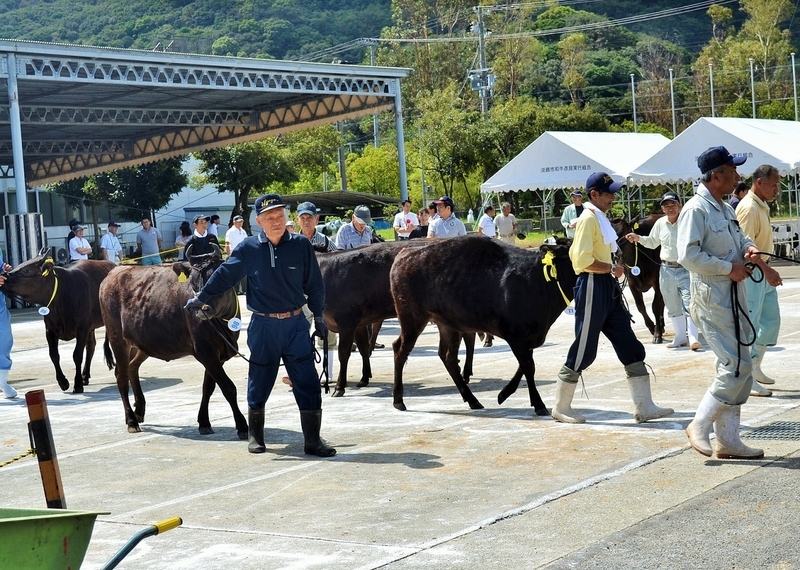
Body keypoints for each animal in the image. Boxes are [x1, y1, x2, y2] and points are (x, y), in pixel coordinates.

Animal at [0, 248, 115, 390]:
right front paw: (63, 382)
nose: (4, 275)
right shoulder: (50, 330)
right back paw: (85, 376)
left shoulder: (82, 328)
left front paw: (77, 384)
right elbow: (54, 355)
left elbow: (77, 354)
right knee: (91, 346)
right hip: (91, 326)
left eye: (26, 270)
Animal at [102, 251, 247, 438]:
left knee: (132, 367)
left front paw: (204, 422)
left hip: (142, 343)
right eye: (192, 283)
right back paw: (132, 421)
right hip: (118, 339)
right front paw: (242, 426)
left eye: (217, 278)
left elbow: (208, 387)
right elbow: (228, 387)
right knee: (121, 377)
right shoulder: (205, 351)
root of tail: (114, 272)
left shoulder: (217, 355)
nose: (200, 308)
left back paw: (139, 410)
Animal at [388, 235, 576, 412]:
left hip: (447, 325)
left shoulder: (530, 337)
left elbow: (524, 366)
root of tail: (404, 255)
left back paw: (472, 400)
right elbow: (528, 366)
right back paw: (398, 399)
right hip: (412, 319)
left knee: (448, 357)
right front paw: (538, 404)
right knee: (400, 350)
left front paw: (504, 393)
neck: (538, 281)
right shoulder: (515, 335)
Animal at [616, 213, 664, 342]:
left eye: (623, 236)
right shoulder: (632, 282)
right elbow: (640, 306)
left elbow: (655, 306)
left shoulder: (658, 281)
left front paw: (657, 333)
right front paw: (652, 327)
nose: (615, 253)